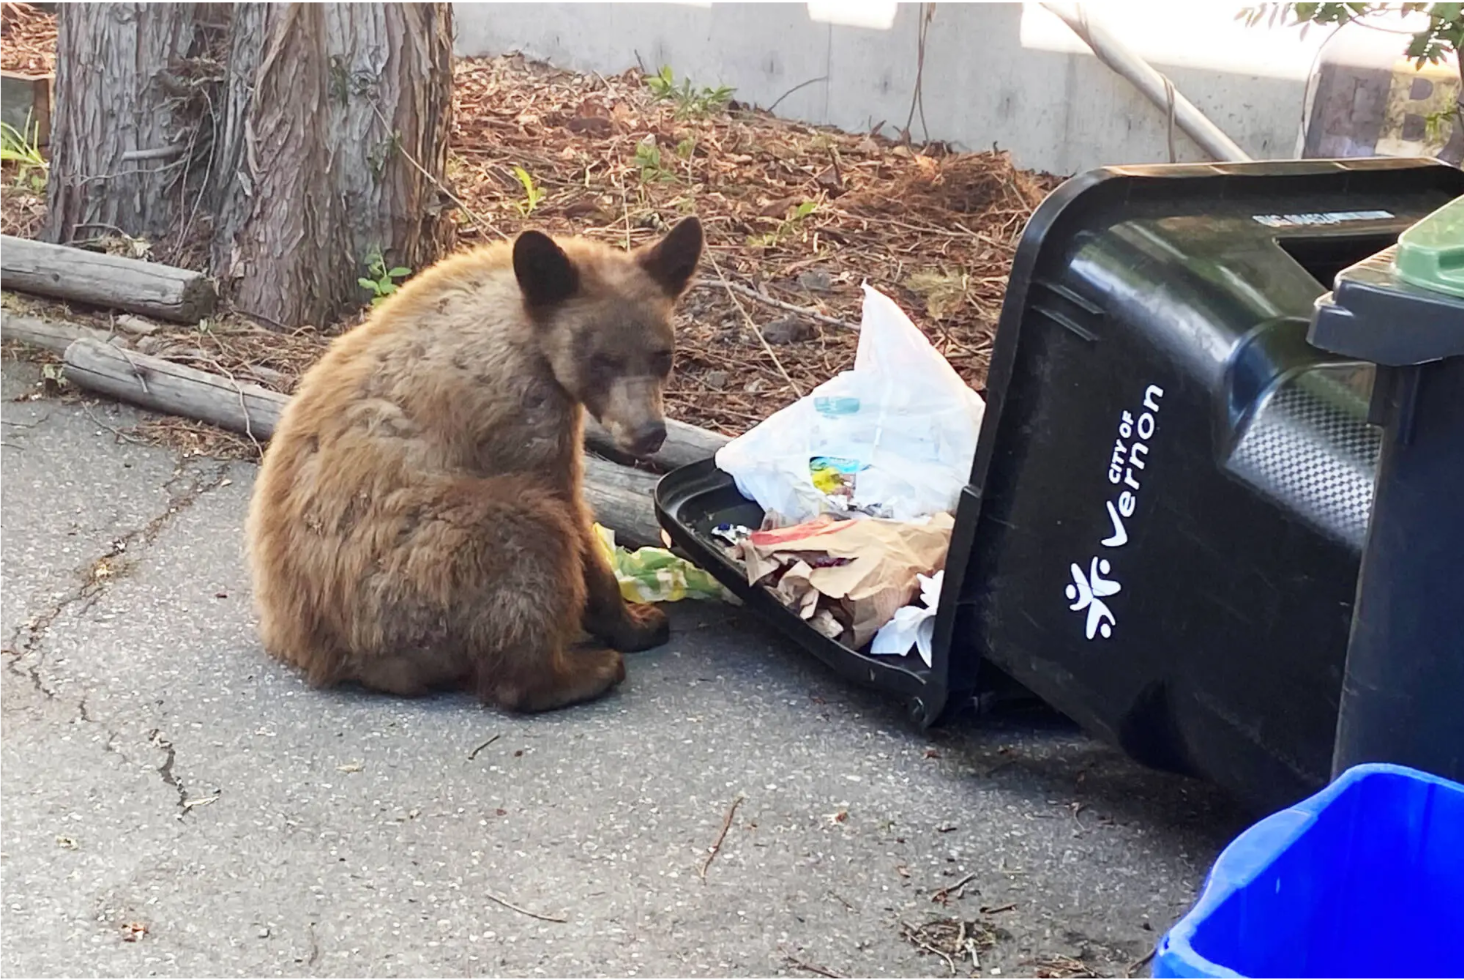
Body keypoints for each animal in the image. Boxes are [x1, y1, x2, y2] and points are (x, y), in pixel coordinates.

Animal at [243, 216, 705, 712]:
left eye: (662, 354)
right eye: (602, 360)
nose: (648, 433)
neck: (525, 324)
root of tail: (318, 651)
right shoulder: (519, 411)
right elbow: (571, 510)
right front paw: (638, 622)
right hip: (411, 573)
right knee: (529, 533)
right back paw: (587, 671)